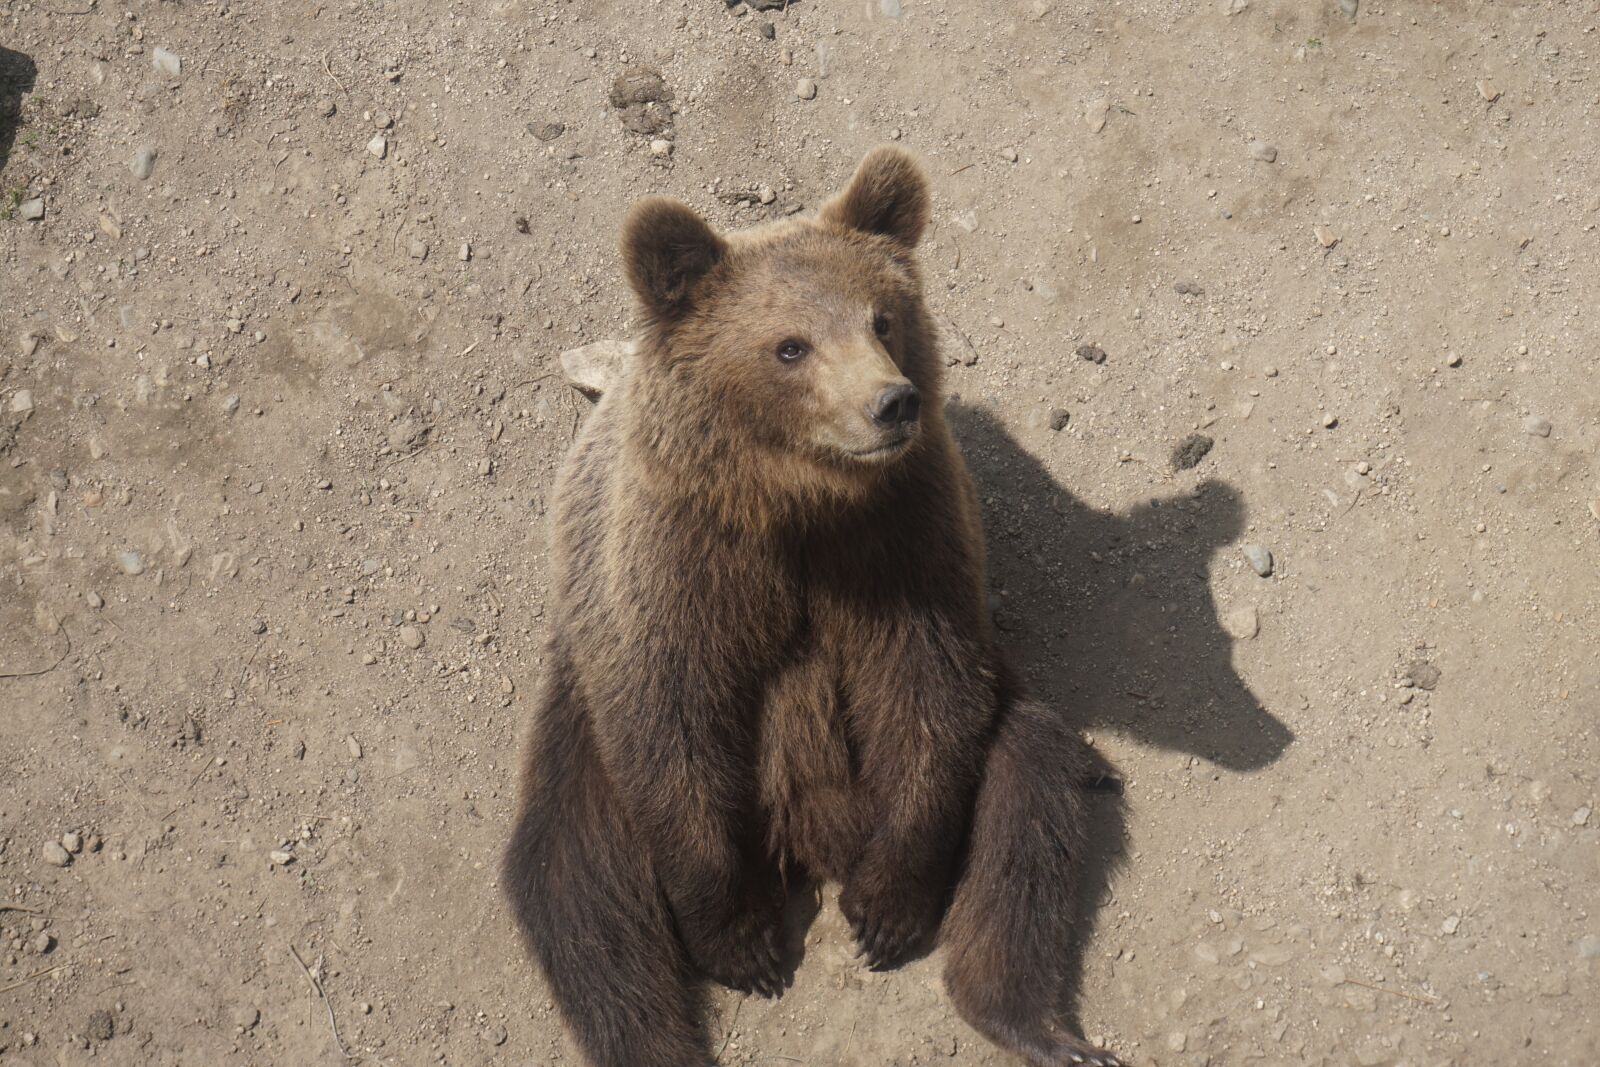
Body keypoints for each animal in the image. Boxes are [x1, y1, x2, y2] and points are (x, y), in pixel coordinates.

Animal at [502, 147, 1122, 1067]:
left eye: (883, 318)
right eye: (790, 345)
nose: (892, 402)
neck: (794, 501)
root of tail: (809, 833)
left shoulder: (901, 542)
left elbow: (927, 694)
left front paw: (886, 909)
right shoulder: (676, 569)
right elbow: (674, 725)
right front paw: (743, 941)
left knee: (1029, 797)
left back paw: (1038, 1024)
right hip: (580, 741)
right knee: (580, 893)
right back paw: (659, 1034)